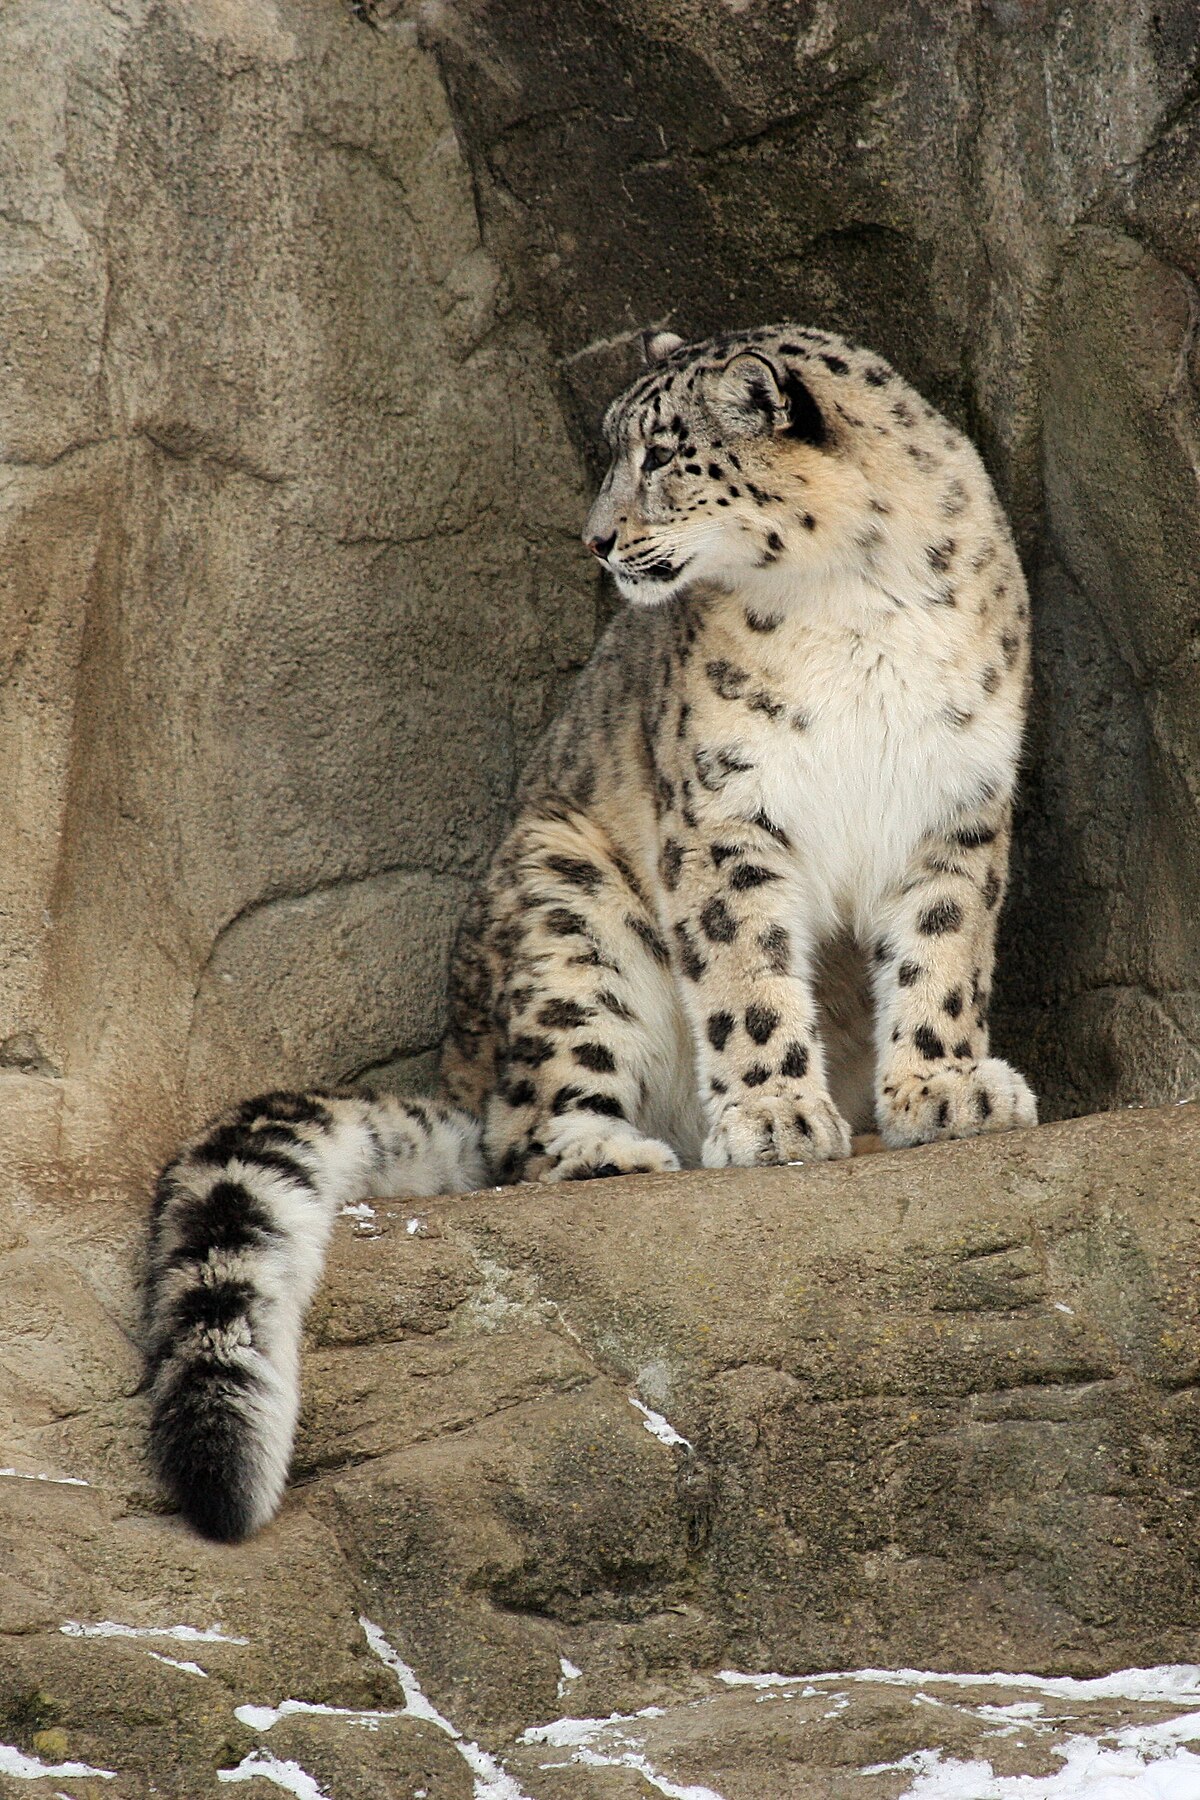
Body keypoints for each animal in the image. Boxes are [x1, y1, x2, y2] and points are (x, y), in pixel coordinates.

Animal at [145, 320, 1036, 1533]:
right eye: (616, 452)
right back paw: (620, 1151)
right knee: (524, 1136)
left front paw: (946, 1091)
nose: (598, 538)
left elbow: (943, 953)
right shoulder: (725, 812)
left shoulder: (957, 801)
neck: (853, 598)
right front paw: (775, 1116)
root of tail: (462, 1068)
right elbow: (747, 976)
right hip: (568, 909)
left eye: (662, 455)